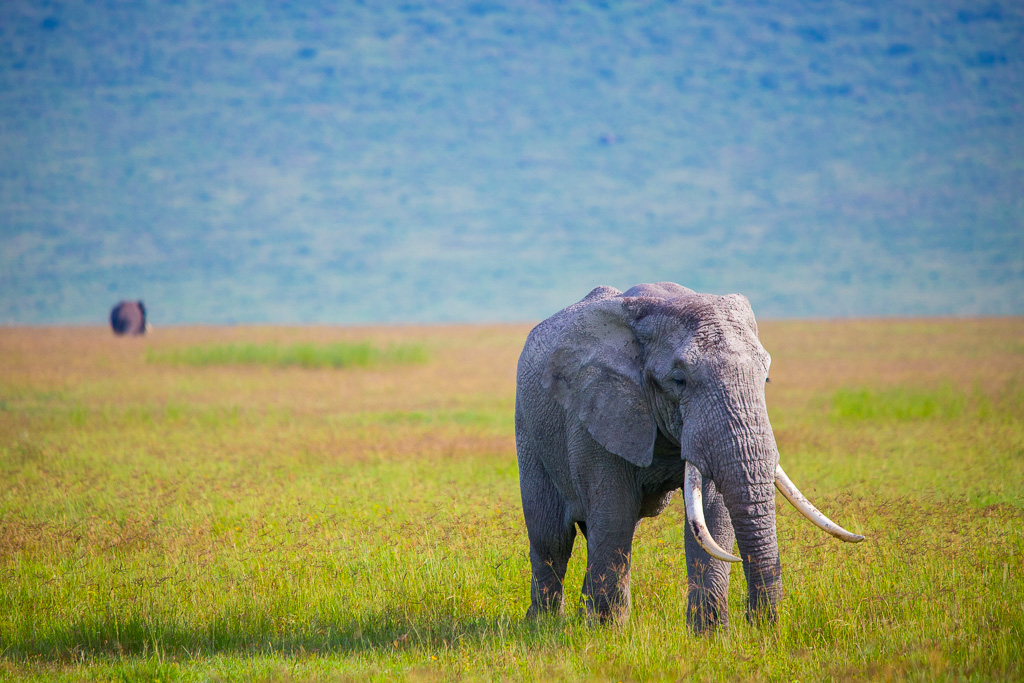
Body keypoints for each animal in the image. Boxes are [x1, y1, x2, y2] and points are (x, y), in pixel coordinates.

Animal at [516, 282, 860, 630]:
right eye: (679, 380)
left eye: (766, 378)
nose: (759, 625)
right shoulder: (597, 413)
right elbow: (614, 514)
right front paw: (607, 633)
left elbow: (712, 515)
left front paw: (710, 636)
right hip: (529, 430)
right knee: (552, 537)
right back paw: (543, 625)